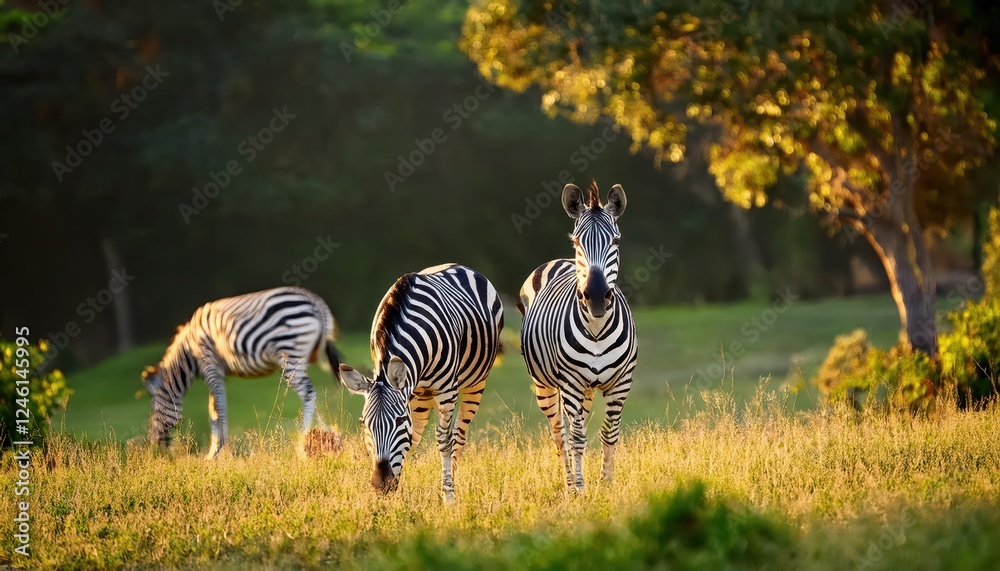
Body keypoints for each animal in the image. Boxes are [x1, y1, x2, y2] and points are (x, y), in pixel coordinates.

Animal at [141, 287, 342, 458]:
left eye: (153, 405)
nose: (153, 445)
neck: (189, 352)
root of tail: (314, 301)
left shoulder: (210, 366)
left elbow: (217, 412)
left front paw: (214, 454)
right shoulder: (217, 373)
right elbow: (214, 411)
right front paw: (214, 453)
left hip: (290, 354)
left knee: (308, 393)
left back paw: (302, 442)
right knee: (312, 394)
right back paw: (325, 433)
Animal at [339, 263, 503, 501]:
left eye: (398, 421)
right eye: (363, 423)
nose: (381, 484)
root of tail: (458, 265)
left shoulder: (447, 392)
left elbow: (444, 442)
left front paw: (448, 497)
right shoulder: (410, 390)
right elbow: (411, 439)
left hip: (476, 382)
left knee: (458, 436)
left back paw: (452, 480)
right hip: (421, 396)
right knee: (418, 435)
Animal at [517, 181, 638, 492]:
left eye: (616, 242)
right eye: (577, 242)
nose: (595, 296)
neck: (596, 329)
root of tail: (558, 262)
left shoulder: (621, 383)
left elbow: (609, 435)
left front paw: (606, 484)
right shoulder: (570, 383)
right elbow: (577, 439)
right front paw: (581, 490)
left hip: (586, 390)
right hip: (546, 385)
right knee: (561, 436)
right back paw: (570, 484)